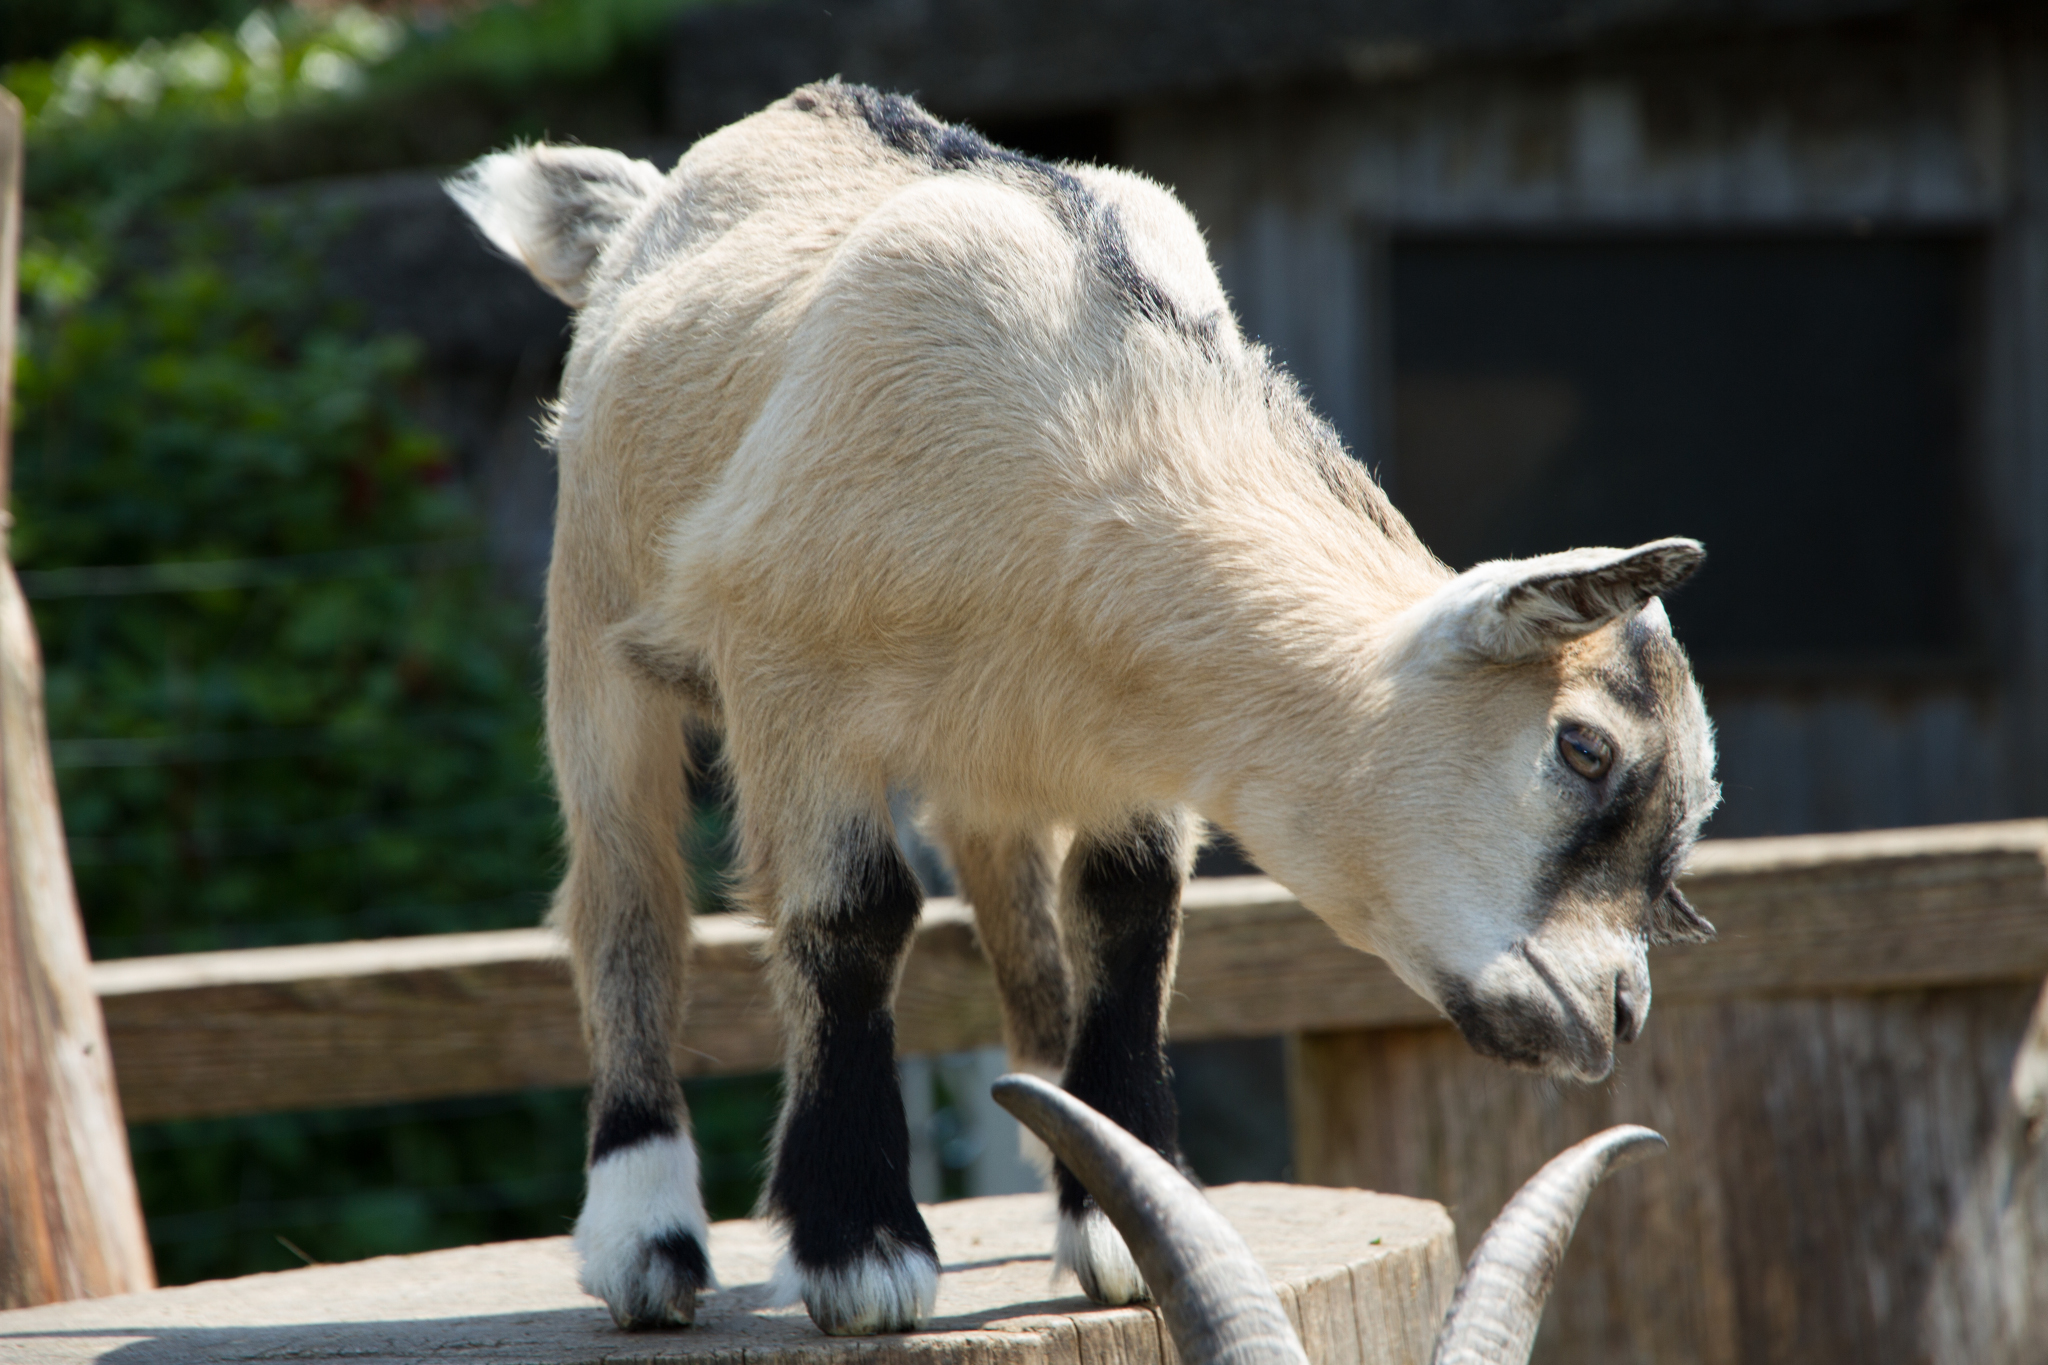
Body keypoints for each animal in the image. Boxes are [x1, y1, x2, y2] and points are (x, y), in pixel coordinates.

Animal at [443, 80, 1718, 1338]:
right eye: (1581, 746)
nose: (1617, 1014)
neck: (1082, 427)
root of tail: (650, 203)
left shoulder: (1130, 744)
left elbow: (1127, 913)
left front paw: (1120, 1209)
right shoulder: (791, 684)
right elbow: (852, 914)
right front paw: (860, 1251)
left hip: (989, 753)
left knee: (1011, 908)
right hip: (596, 617)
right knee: (624, 890)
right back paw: (645, 1239)